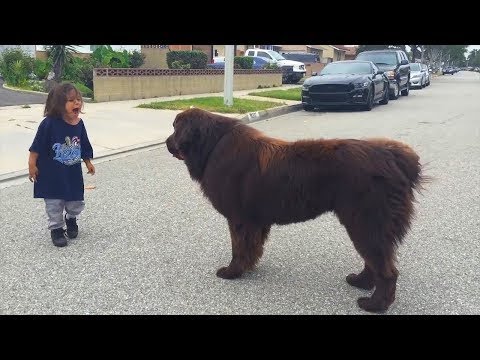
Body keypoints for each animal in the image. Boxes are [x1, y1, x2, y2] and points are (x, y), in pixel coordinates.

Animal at [167, 107, 426, 312]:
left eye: (175, 128)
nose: (167, 143)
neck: (212, 145)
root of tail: (396, 157)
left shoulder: (239, 219)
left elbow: (238, 248)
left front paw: (232, 272)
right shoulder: (255, 221)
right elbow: (252, 247)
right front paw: (249, 267)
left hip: (366, 222)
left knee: (386, 270)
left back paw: (374, 304)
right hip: (366, 225)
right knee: (374, 261)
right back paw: (360, 282)